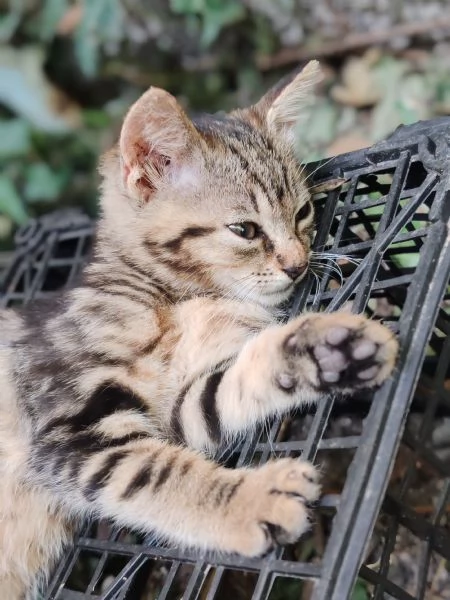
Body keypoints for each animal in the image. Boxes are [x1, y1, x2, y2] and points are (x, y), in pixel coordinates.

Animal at [0, 62, 398, 600]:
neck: (175, 299)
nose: (298, 265)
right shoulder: (73, 427)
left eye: (302, 214)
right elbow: (155, 474)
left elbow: (223, 393)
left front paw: (323, 350)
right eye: (245, 230)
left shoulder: (174, 414)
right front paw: (253, 501)